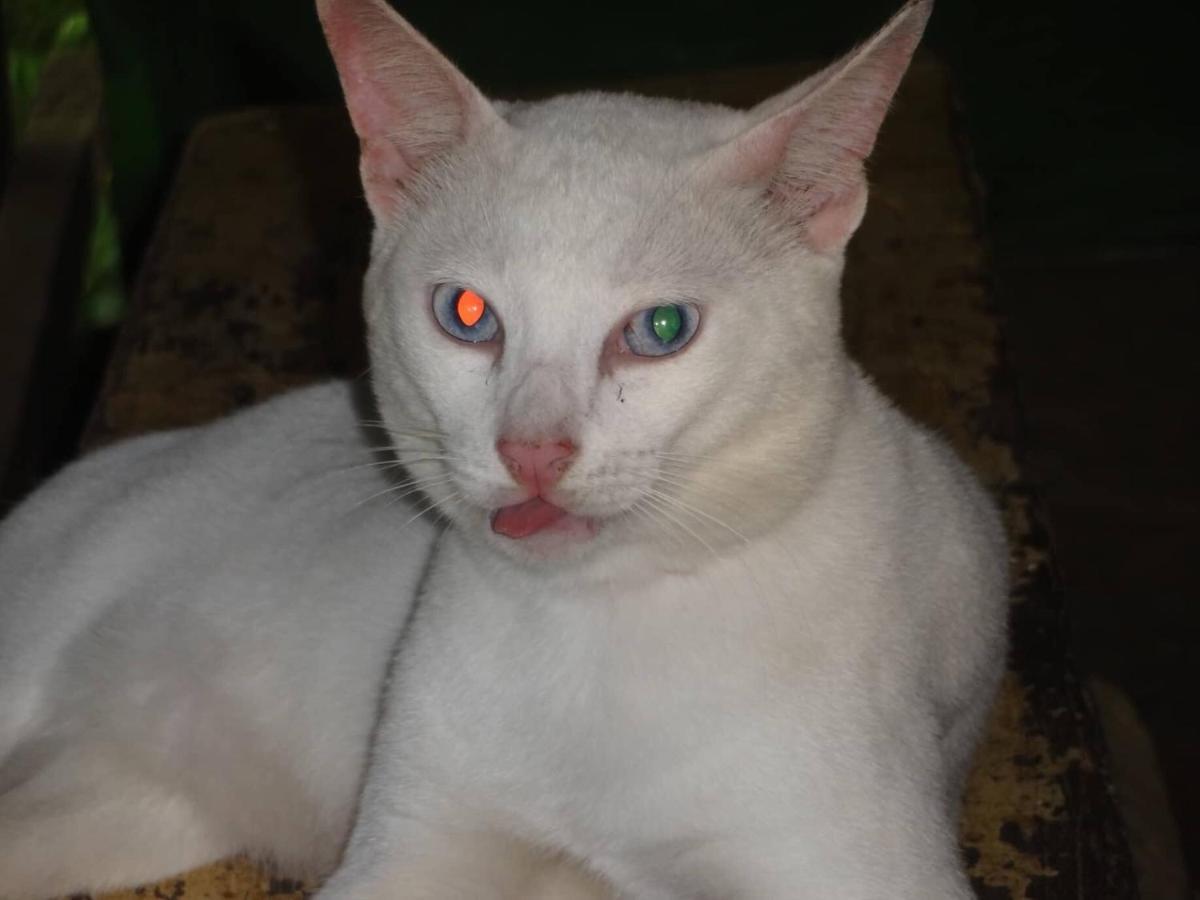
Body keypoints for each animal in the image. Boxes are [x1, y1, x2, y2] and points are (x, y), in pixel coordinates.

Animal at [0, 0, 1008, 897]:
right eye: (467, 313)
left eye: (663, 329)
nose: (533, 450)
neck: (601, 626)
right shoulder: (409, 851)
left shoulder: (860, 870)